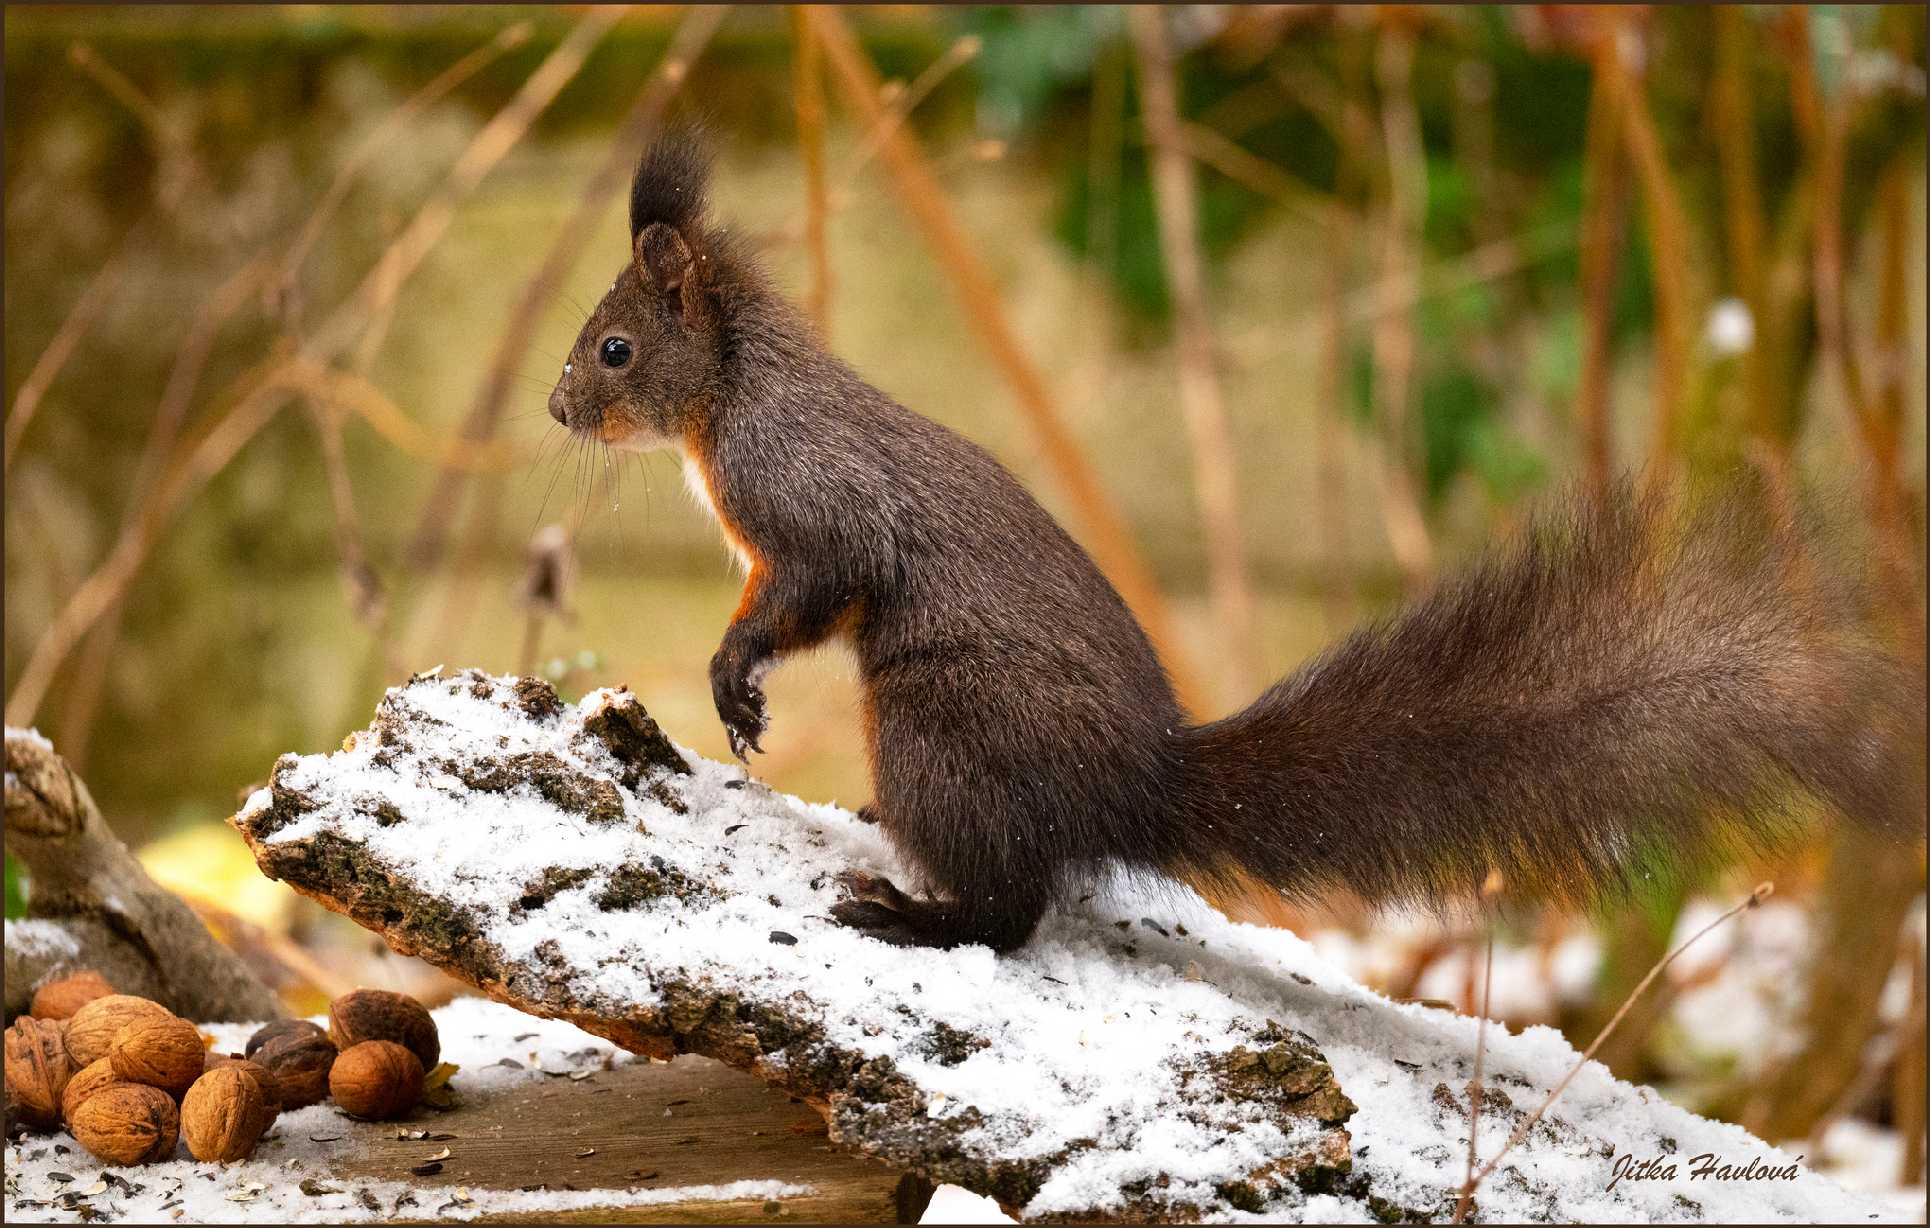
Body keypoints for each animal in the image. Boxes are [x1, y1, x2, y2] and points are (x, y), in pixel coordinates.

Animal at [544, 132, 1914, 949]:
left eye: (615, 346)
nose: (557, 412)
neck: (731, 395)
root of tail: (1131, 786)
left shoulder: (811, 499)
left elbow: (817, 584)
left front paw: (733, 684)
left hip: (944, 720)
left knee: (1011, 912)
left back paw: (909, 909)